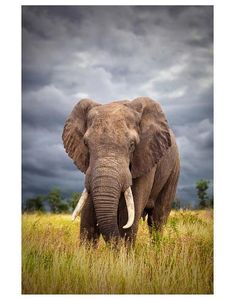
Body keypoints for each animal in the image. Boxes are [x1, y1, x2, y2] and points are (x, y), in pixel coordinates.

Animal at [62, 96, 180, 246]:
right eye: (86, 144)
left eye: (132, 145)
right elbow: (87, 219)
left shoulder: (145, 158)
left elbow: (127, 218)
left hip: (174, 170)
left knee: (157, 219)